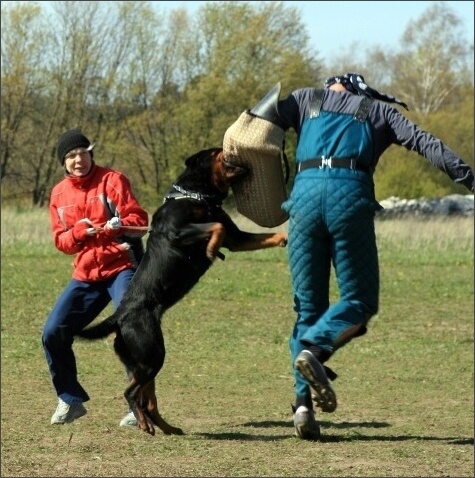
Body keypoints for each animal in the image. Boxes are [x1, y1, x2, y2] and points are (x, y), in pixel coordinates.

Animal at [76, 148, 288, 436]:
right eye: (219, 151)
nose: (234, 152)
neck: (197, 195)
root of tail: (119, 316)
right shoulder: (179, 232)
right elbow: (216, 228)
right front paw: (211, 249)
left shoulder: (237, 238)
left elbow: (264, 235)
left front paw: (286, 238)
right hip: (152, 354)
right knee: (131, 393)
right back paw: (144, 424)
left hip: (144, 360)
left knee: (148, 400)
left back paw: (166, 427)